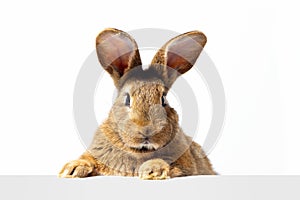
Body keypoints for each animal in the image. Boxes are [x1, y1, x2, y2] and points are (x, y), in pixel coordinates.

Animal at [59, 28, 216, 180]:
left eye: (163, 99)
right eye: (127, 99)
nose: (147, 129)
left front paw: (153, 170)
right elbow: (88, 159)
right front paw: (72, 168)